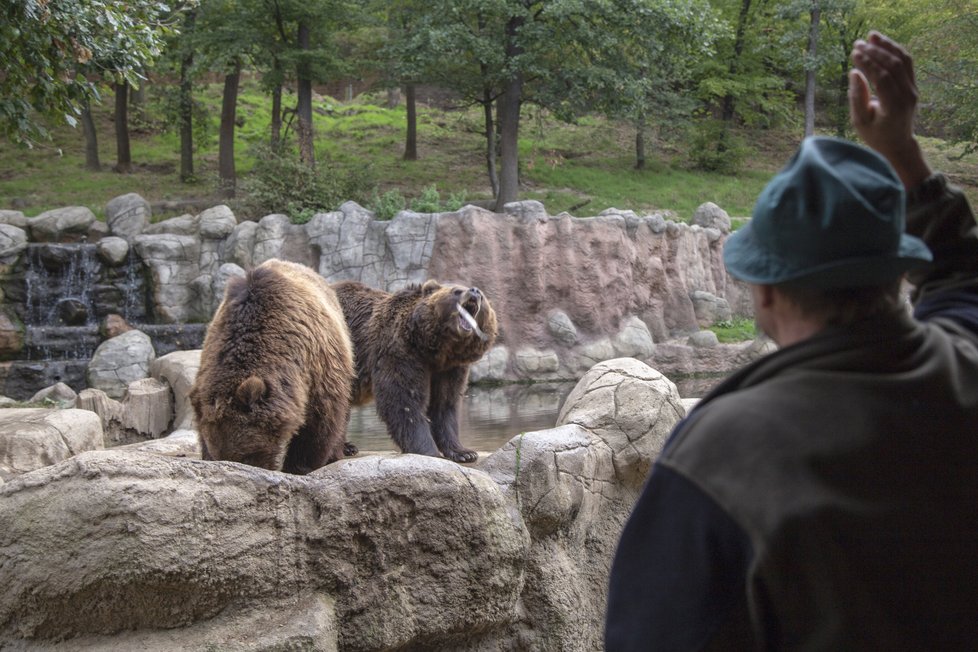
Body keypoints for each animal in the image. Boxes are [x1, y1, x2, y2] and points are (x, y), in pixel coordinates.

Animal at [332, 278, 496, 460]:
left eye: (482, 296)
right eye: (457, 291)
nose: (475, 291)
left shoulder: (451, 367)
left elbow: (445, 404)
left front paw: (463, 452)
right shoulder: (400, 350)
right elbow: (404, 400)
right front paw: (429, 451)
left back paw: (347, 446)